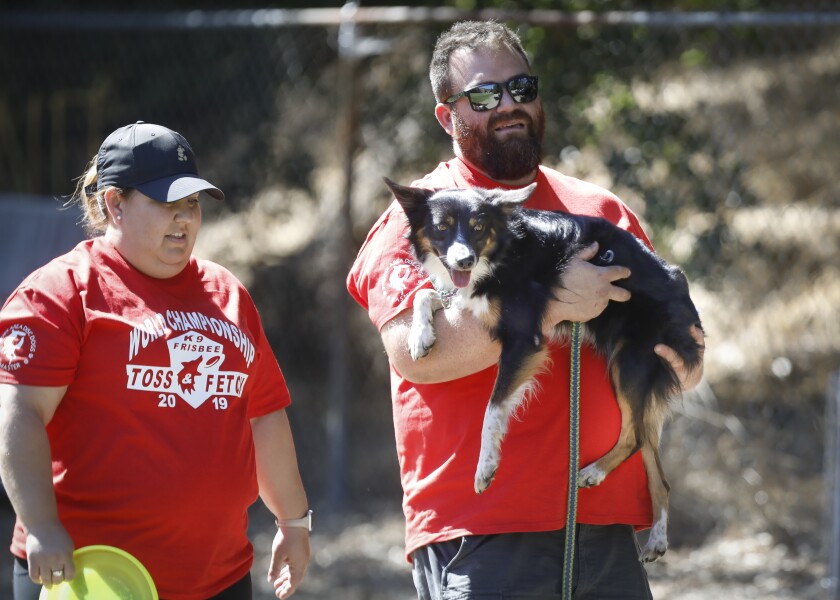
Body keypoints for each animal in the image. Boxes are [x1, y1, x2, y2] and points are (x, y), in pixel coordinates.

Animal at [388, 178, 704, 564]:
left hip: (630, 364)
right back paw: (656, 536)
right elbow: (427, 295)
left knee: (634, 437)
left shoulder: (524, 339)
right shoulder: (467, 298)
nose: (464, 260)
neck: (503, 254)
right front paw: (419, 335)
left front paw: (485, 467)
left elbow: (493, 409)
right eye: (442, 226)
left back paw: (595, 472)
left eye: (478, 227)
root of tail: (681, 287)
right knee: (654, 464)